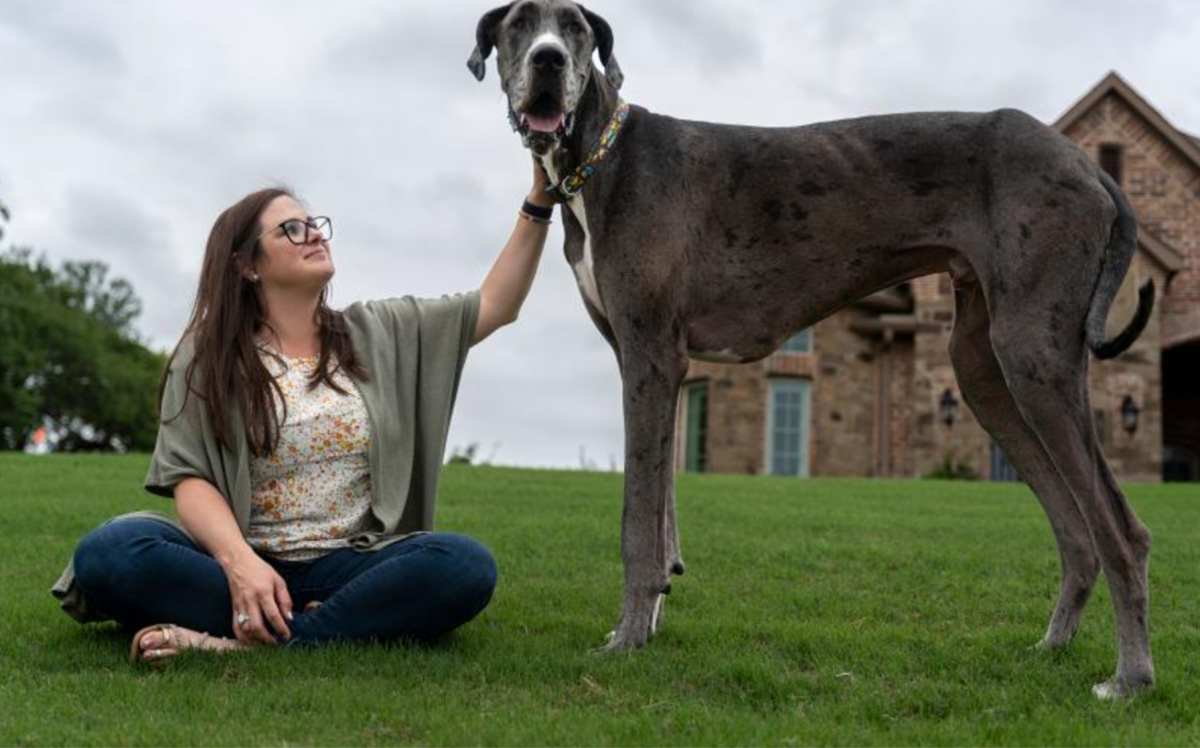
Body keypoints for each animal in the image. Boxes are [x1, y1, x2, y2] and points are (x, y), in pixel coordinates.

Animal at [465, 1, 1152, 701]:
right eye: (519, 24)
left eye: (574, 27)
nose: (548, 60)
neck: (603, 156)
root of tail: (1089, 165)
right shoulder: (657, 367)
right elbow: (663, 511)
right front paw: (649, 621)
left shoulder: (650, 356)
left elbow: (638, 520)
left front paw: (627, 638)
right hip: (984, 371)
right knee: (1077, 531)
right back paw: (1052, 646)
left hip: (1032, 355)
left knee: (1122, 530)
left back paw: (1130, 678)